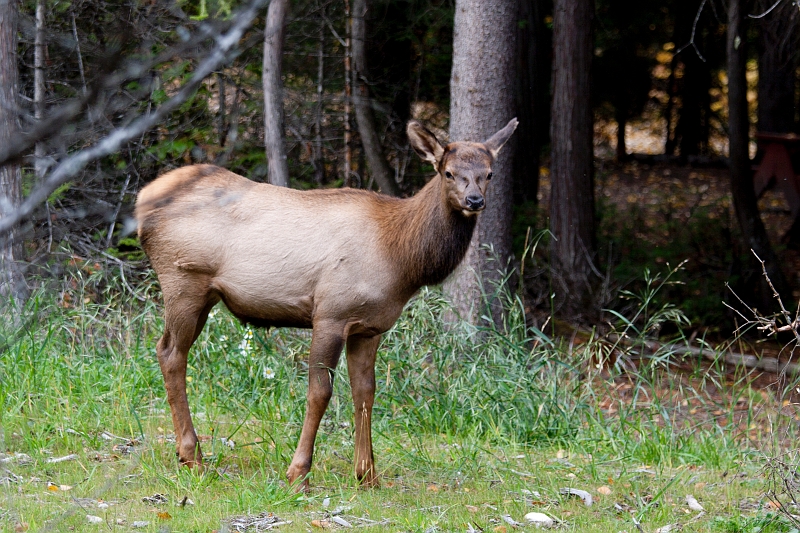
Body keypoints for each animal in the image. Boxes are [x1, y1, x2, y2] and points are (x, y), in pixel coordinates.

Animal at [135, 118, 518, 491]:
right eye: (448, 172)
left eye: (489, 173)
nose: (474, 200)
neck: (401, 258)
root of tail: (141, 201)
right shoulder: (331, 313)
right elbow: (320, 392)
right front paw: (298, 474)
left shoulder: (369, 327)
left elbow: (365, 393)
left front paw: (367, 475)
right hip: (183, 279)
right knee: (170, 352)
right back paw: (192, 457)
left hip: (203, 294)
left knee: (169, 351)